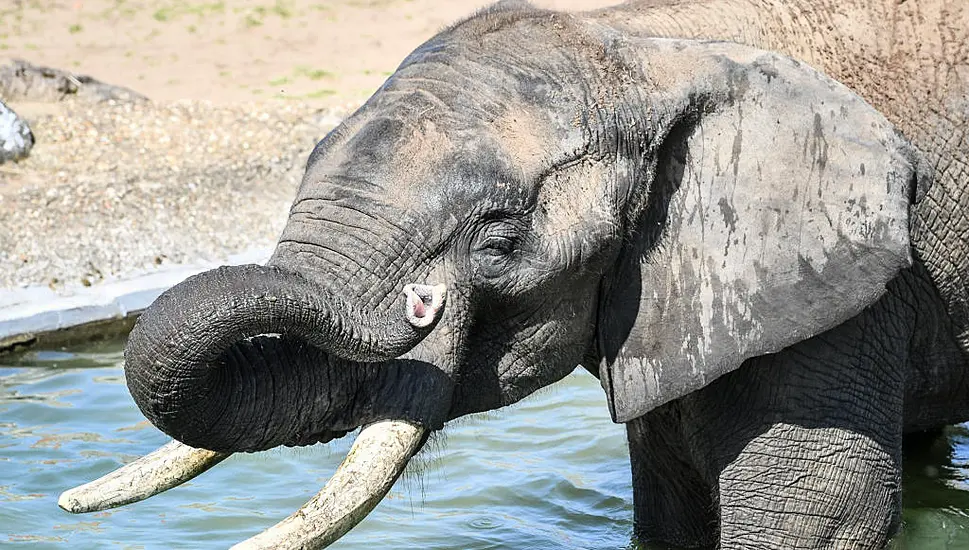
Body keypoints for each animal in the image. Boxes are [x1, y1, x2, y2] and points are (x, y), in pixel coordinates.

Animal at [58, 0, 968, 548]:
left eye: (497, 242)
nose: (421, 307)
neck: (645, 43)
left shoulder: (838, 280)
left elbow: (818, 512)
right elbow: (668, 504)